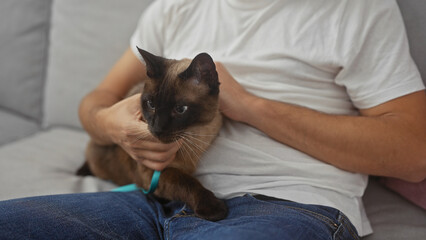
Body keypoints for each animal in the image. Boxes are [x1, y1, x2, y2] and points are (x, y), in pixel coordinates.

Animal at [78, 48, 228, 221]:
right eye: (151, 105)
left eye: (180, 109)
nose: (157, 129)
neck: (194, 135)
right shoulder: (152, 173)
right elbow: (188, 183)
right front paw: (213, 209)